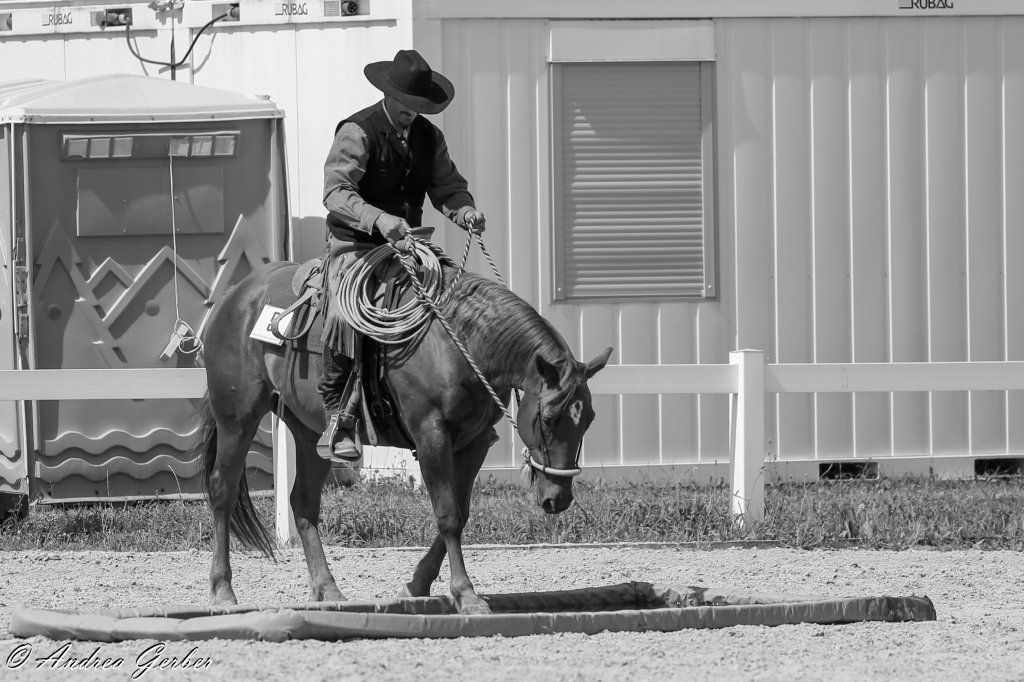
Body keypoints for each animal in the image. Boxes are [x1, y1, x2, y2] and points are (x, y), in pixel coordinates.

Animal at [193, 255, 612, 614]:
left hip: (311, 433)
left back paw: (327, 589)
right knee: (222, 491)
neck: (459, 341)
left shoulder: (474, 443)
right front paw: (466, 595)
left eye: (589, 418)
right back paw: (223, 591)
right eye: (547, 418)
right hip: (238, 419)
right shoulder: (432, 438)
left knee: (303, 502)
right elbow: (448, 515)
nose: (558, 499)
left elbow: (461, 512)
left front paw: (418, 585)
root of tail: (237, 297)